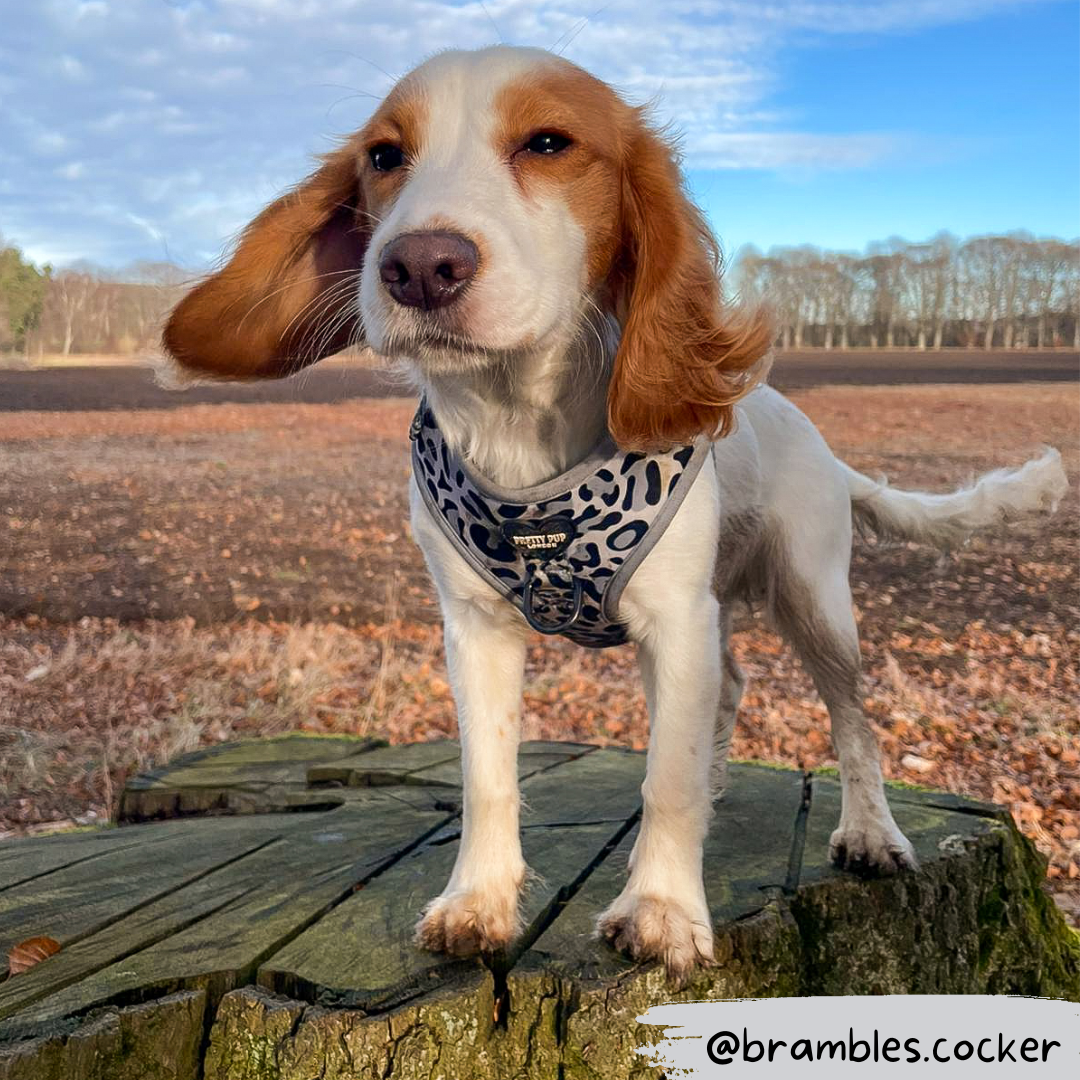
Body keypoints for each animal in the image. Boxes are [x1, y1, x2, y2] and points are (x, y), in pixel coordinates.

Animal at [164, 46, 1067, 980]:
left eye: (548, 142)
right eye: (384, 155)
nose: (417, 266)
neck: (520, 432)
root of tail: (819, 441)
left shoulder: (675, 617)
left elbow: (665, 777)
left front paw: (662, 908)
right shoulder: (475, 628)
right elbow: (489, 775)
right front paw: (479, 900)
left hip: (814, 599)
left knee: (852, 721)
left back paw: (869, 831)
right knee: (730, 686)